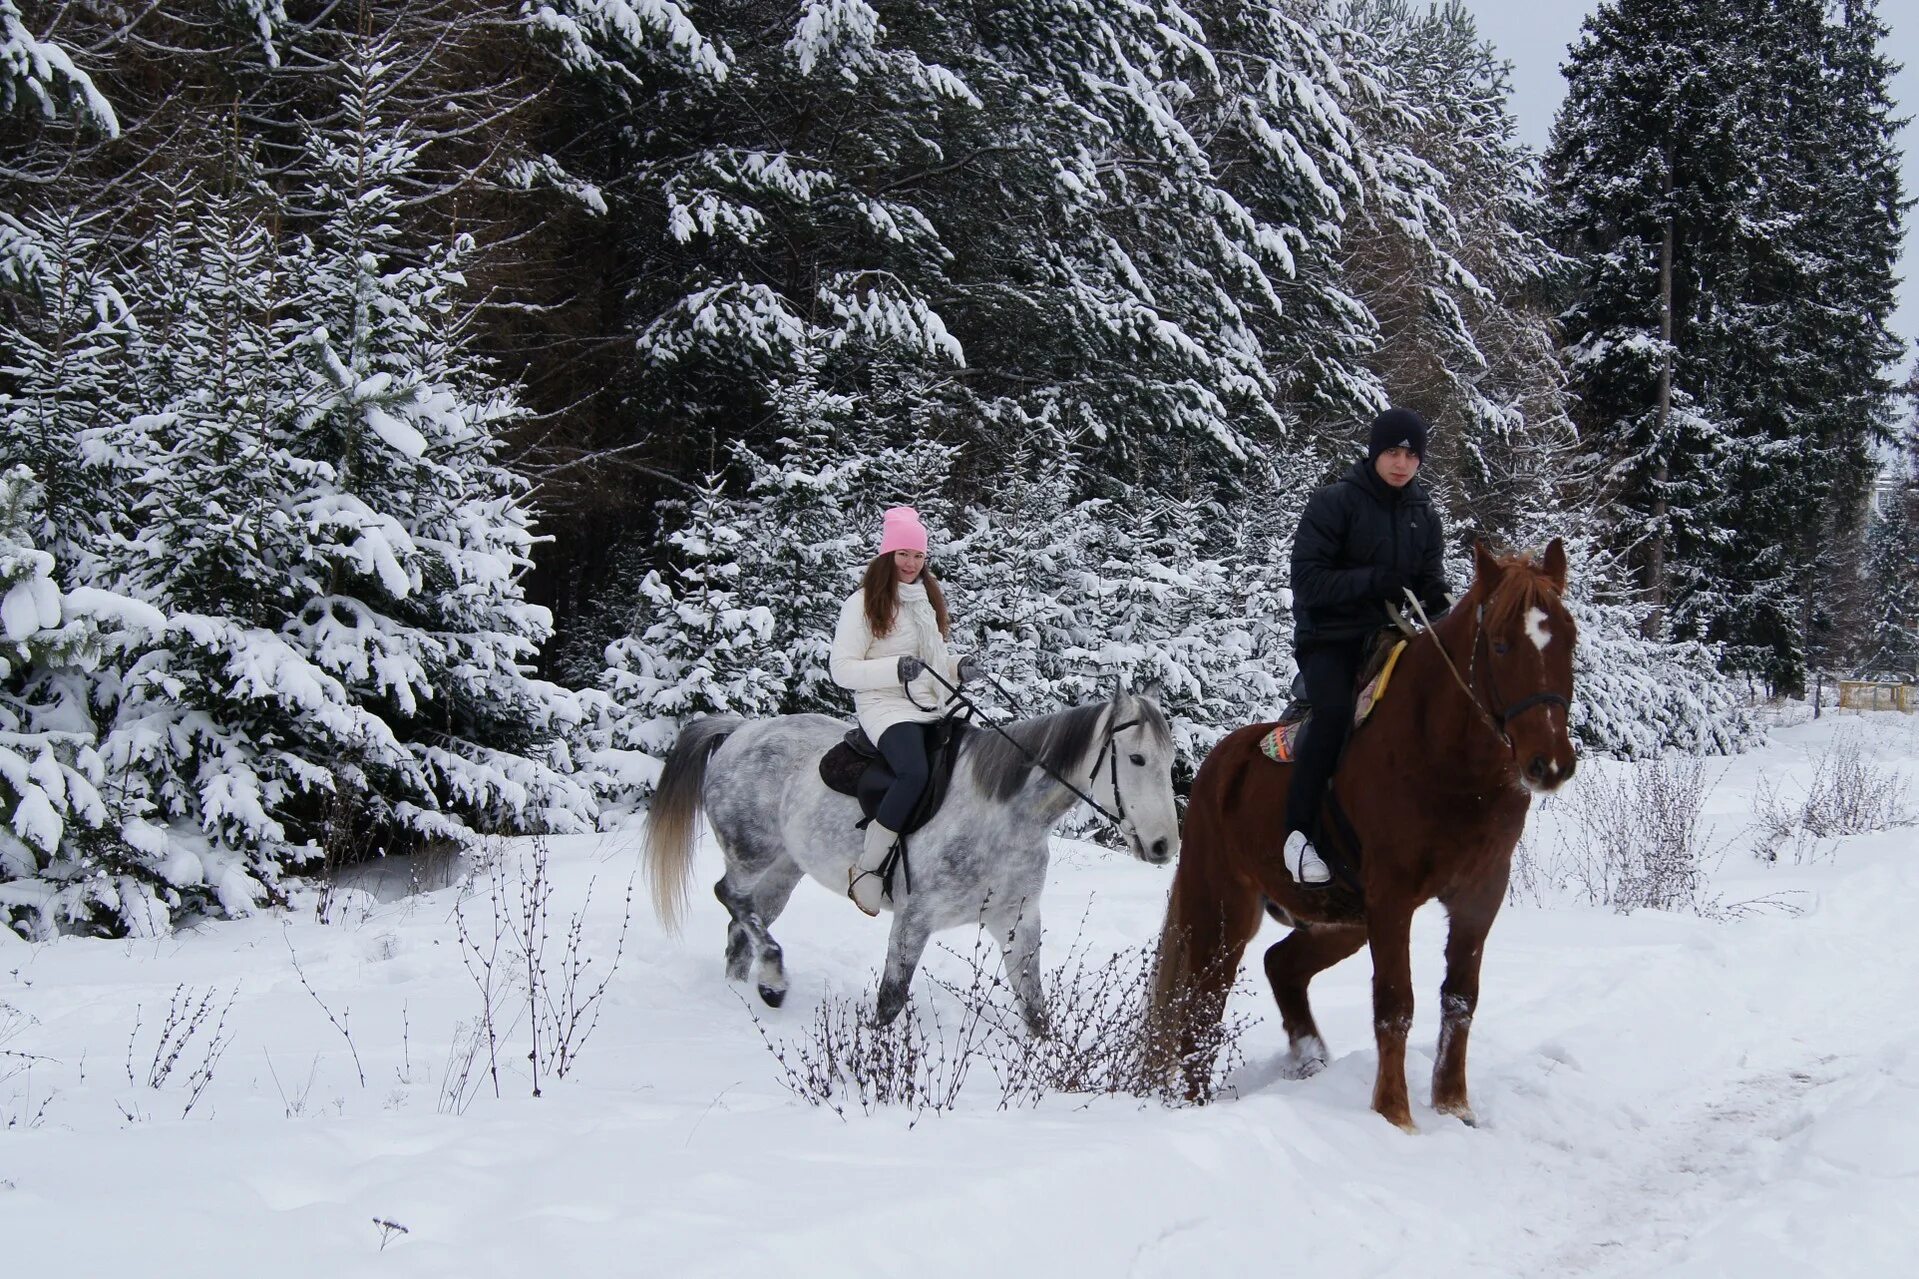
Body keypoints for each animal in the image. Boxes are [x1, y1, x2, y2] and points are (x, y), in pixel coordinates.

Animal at [648, 691, 1182, 1021]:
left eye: (1172, 759)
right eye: (1136, 759)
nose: (1163, 846)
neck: (1002, 815)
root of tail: (740, 731)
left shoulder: (1017, 920)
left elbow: (1035, 1011)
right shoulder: (914, 919)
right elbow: (889, 1001)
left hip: (782, 872)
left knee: (744, 925)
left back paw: (750, 987)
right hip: (751, 855)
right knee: (730, 896)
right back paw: (774, 978)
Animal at [1151, 537, 1573, 1129]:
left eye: (1569, 638)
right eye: (1501, 645)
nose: (1548, 763)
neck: (1447, 760)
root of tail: (1217, 765)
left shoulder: (1479, 894)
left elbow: (1460, 999)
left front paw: (1454, 1106)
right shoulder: (1392, 898)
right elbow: (1395, 1004)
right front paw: (1395, 1114)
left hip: (1339, 920)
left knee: (1281, 966)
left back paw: (1310, 1060)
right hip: (1223, 912)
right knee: (1201, 1009)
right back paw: (1196, 1103)